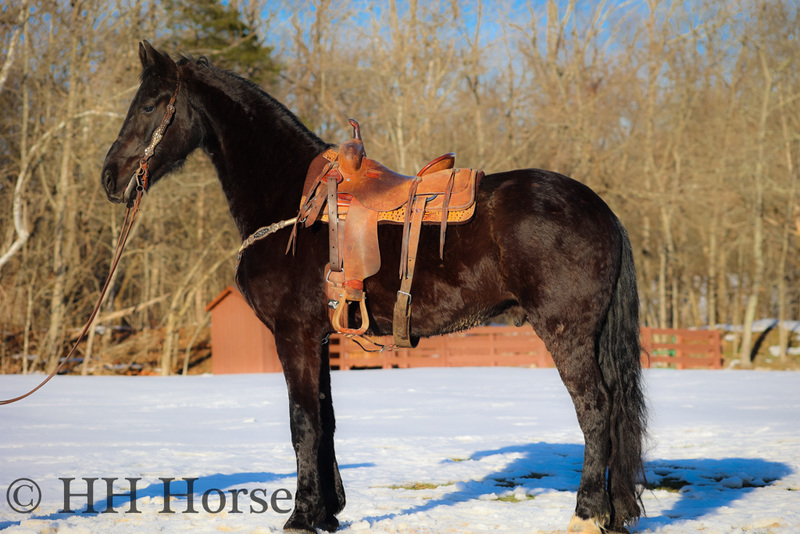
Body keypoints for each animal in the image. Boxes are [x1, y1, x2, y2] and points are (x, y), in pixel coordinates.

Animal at [101, 43, 648, 534]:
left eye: (150, 105)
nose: (110, 176)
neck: (293, 202)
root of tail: (600, 209)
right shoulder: (320, 338)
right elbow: (324, 420)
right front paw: (328, 513)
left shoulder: (294, 335)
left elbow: (302, 422)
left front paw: (300, 518)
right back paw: (614, 516)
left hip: (566, 333)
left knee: (596, 410)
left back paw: (585, 516)